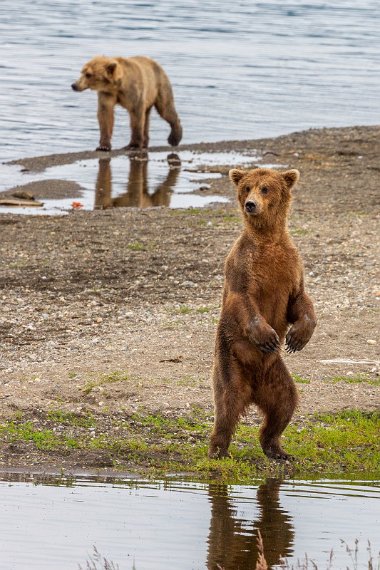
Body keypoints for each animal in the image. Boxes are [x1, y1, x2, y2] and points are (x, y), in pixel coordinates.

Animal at [209, 164, 316, 458]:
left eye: (266, 188)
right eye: (247, 187)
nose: (251, 204)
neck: (267, 240)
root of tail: (254, 389)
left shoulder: (291, 266)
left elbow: (300, 300)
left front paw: (297, 337)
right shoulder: (243, 266)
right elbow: (244, 301)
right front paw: (268, 336)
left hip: (274, 375)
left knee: (285, 403)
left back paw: (276, 449)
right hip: (230, 360)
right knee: (227, 403)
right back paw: (218, 450)